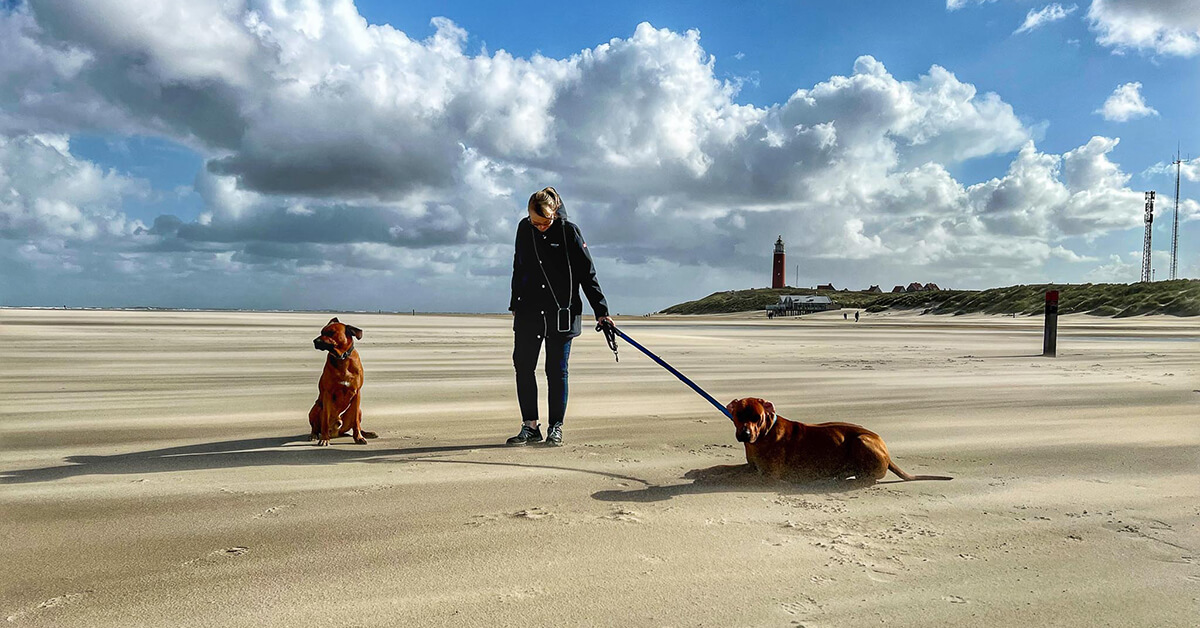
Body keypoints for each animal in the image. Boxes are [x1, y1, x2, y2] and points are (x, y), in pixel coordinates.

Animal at [309, 317, 377, 446]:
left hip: (359, 410)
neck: (342, 358)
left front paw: (358, 437)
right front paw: (324, 438)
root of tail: (336, 432)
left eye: (331, 333)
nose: (315, 341)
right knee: (315, 426)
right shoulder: (327, 394)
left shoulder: (357, 393)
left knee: (357, 423)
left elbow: (356, 422)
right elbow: (325, 419)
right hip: (315, 408)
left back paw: (366, 433)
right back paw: (314, 435)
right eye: (321, 332)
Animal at [723, 397, 951, 486]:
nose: (745, 434)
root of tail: (887, 452)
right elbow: (726, 468)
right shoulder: (750, 466)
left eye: (757, 418)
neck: (764, 434)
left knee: (870, 478)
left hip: (862, 441)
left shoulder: (768, 476)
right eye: (739, 415)